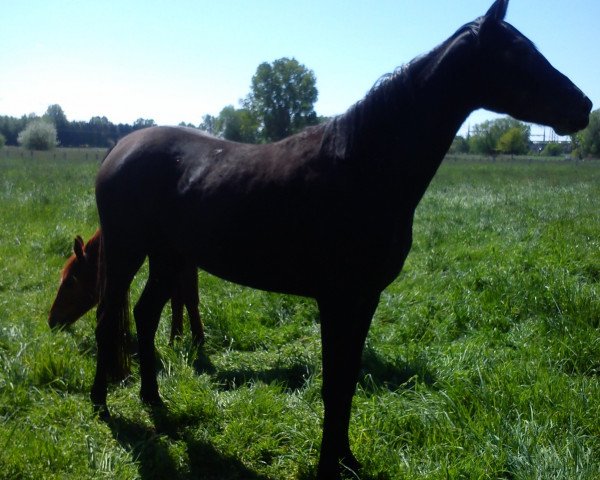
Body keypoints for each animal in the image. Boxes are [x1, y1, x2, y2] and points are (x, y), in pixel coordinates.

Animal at [49, 230, 204, 344]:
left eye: (70, 281)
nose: (51, 321)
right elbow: (177, 300)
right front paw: (176, 340)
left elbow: (189, 298)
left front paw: (197, 342)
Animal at [89, 1, 592, 478]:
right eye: (517, 54)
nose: (583, 106)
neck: (361, 167)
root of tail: (120, 148)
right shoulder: (336, 300)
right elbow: (333, 384)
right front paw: (328, 466)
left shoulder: (364, 299)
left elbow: (348, 381)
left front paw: (347, 460)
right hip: (126, 252)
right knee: (108, 318)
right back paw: (101, 404)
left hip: (168, 257)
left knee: (145, 315)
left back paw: (152, 398)